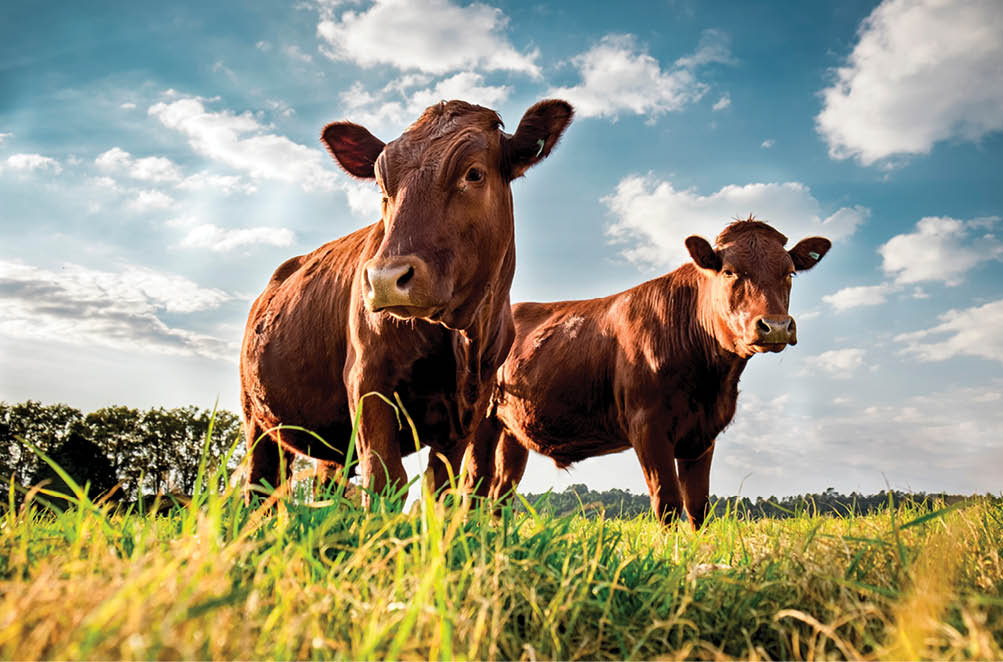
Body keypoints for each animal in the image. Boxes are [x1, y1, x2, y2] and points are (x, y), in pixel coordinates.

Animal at [239, 99, 574, 505]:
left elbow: (441, 488)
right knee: (260, 485)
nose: (385, 279)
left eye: (474, 174)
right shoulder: (366, 380)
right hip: (257, 417)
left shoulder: (470, 409)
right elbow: (385, 479)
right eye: (383, 185)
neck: (462, 337)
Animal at [470, 219, 830, 527]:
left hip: (513, 430)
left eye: (790, 273)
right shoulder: (647, 425)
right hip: (481, 420)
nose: (776, 326)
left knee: (501, 492)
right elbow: (667, 501)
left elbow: (698, 507)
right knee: (475, 486)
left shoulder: (703, 434)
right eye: (729, 271)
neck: (711, 382)